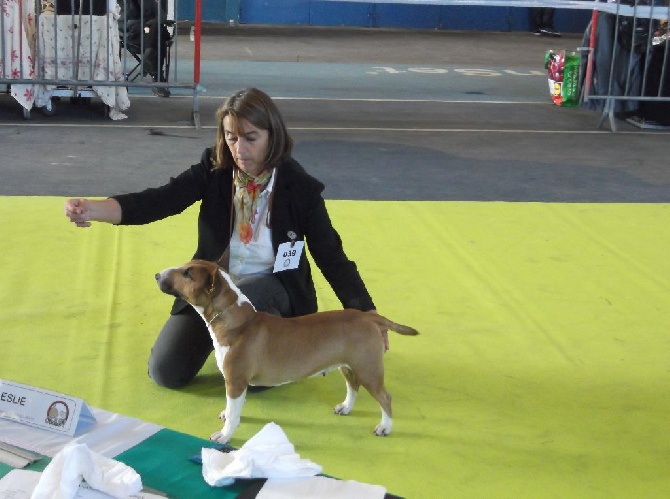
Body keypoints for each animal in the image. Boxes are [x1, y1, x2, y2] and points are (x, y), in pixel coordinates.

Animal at [158, 260, 420, 444]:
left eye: (187, 273)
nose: (157, 275)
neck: (235, 320)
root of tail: (369, 317)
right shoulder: (237, 383)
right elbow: (234, 408)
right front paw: (227, 415)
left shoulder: (235, 380)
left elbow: (233, 413)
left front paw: (224, 435)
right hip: (347, 364)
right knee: (352, 386)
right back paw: (345, 407)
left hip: (368, 368)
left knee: (385, 398)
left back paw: (385, 427)